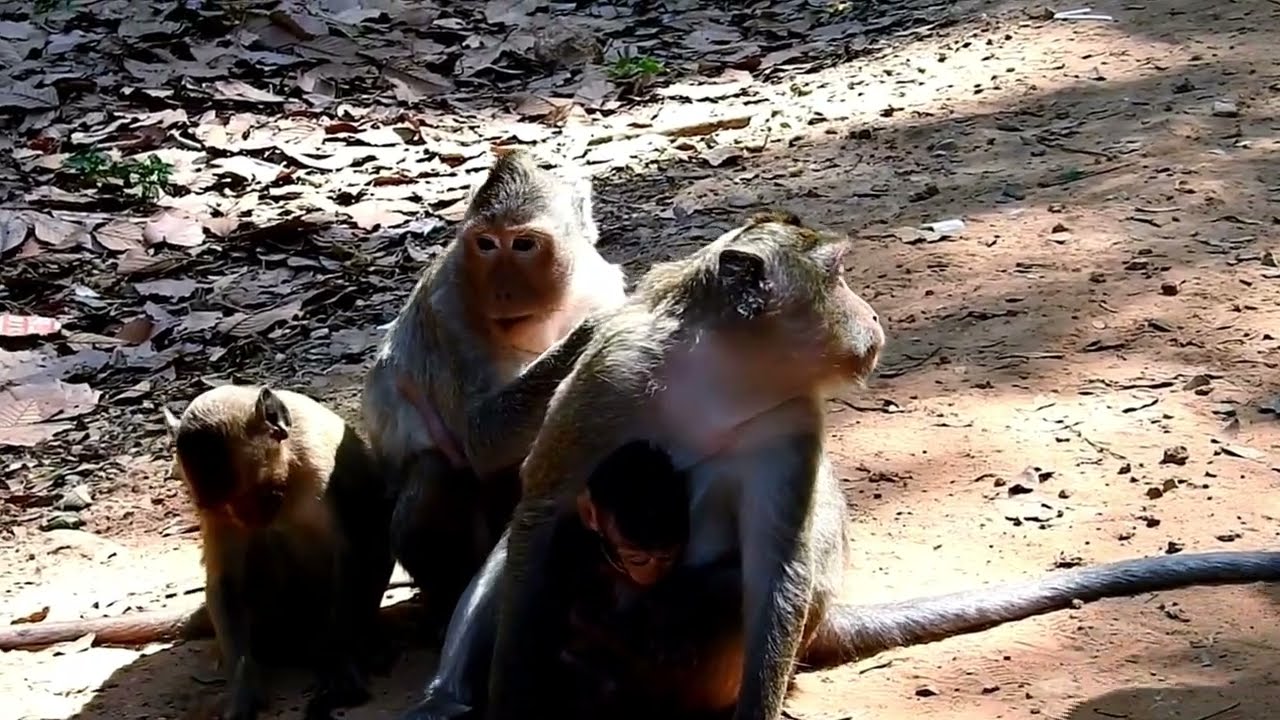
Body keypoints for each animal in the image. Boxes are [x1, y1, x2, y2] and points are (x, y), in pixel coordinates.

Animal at [166, 384, 393, 720]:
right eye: (224, 506)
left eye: (255, 495)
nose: (247, 517)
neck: (289, 468)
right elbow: (227, 581)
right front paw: (243, 688)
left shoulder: (322, 465)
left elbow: (362, 546)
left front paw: (339, 662)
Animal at [361, 146, 628, 633]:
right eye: (486, 244)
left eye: (523, 245)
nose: (502, 291)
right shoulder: (448, 310)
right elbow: (481, 438)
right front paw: (593, 331)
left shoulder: (600, 284)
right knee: (436, 472)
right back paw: (449, 601)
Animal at [406, 210, 1280, 720]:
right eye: (835, 275)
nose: (870, 314)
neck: (718, 377)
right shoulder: (613, 375)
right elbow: (541, 512)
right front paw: (501, 703)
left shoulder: (790, 421)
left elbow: (776, 570)